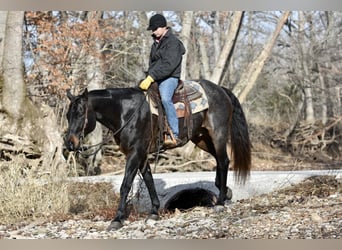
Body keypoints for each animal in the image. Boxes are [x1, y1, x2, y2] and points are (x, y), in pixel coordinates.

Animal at [65, 79, 251, 229]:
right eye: (68, 115)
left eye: (80, 113)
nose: (70, 143)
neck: (125, 112)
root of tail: (220, 89)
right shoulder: (141, 154)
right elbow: (149, 180)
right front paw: (154, 212)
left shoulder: (135, 152)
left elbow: (126, 185)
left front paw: (117, 219)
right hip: (202, 138)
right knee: (219, 160)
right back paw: (225, 191)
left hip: (217, 134)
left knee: (224, 160)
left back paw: (220, 202)